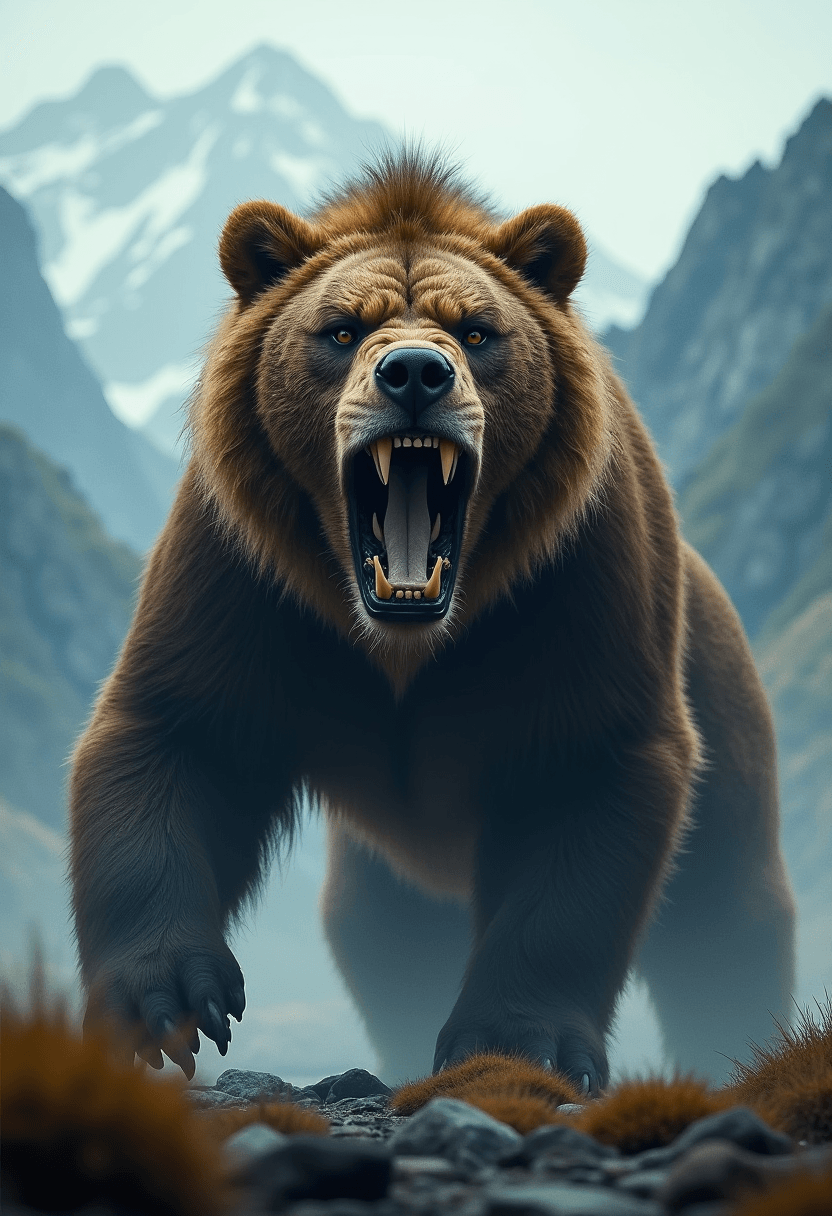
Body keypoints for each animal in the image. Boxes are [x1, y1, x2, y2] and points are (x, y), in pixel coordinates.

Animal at [69, 151, 795, 1089]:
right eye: (342, 329)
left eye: (478, 331)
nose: (415, 373)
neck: (405, 637)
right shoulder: (245, 578)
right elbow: (178, 733)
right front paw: (168, 998)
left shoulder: (578, 586)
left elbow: (585, 783)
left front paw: (519, 1040)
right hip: (383, 878)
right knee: (386, 948)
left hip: (726, 721)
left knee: (728, 921)